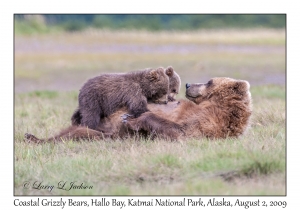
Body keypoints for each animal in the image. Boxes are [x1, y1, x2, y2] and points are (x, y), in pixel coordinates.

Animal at [25, 77, 251, 143]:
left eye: (209, 81)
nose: (188, 85)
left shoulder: (204, 124)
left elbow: (178, 130)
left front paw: (131, 119)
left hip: (109, 133)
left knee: (79, 134)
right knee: (74, 130)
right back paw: (33, 136)